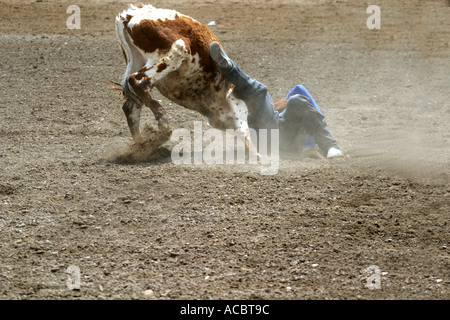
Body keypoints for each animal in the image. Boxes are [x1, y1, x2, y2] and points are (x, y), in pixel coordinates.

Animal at [115, 3, 250, 142]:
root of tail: (129, 16)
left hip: (136, 62)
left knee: (131, 105)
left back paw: (140, 142)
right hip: (176, 50)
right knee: (136, 80)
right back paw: (162, 119)